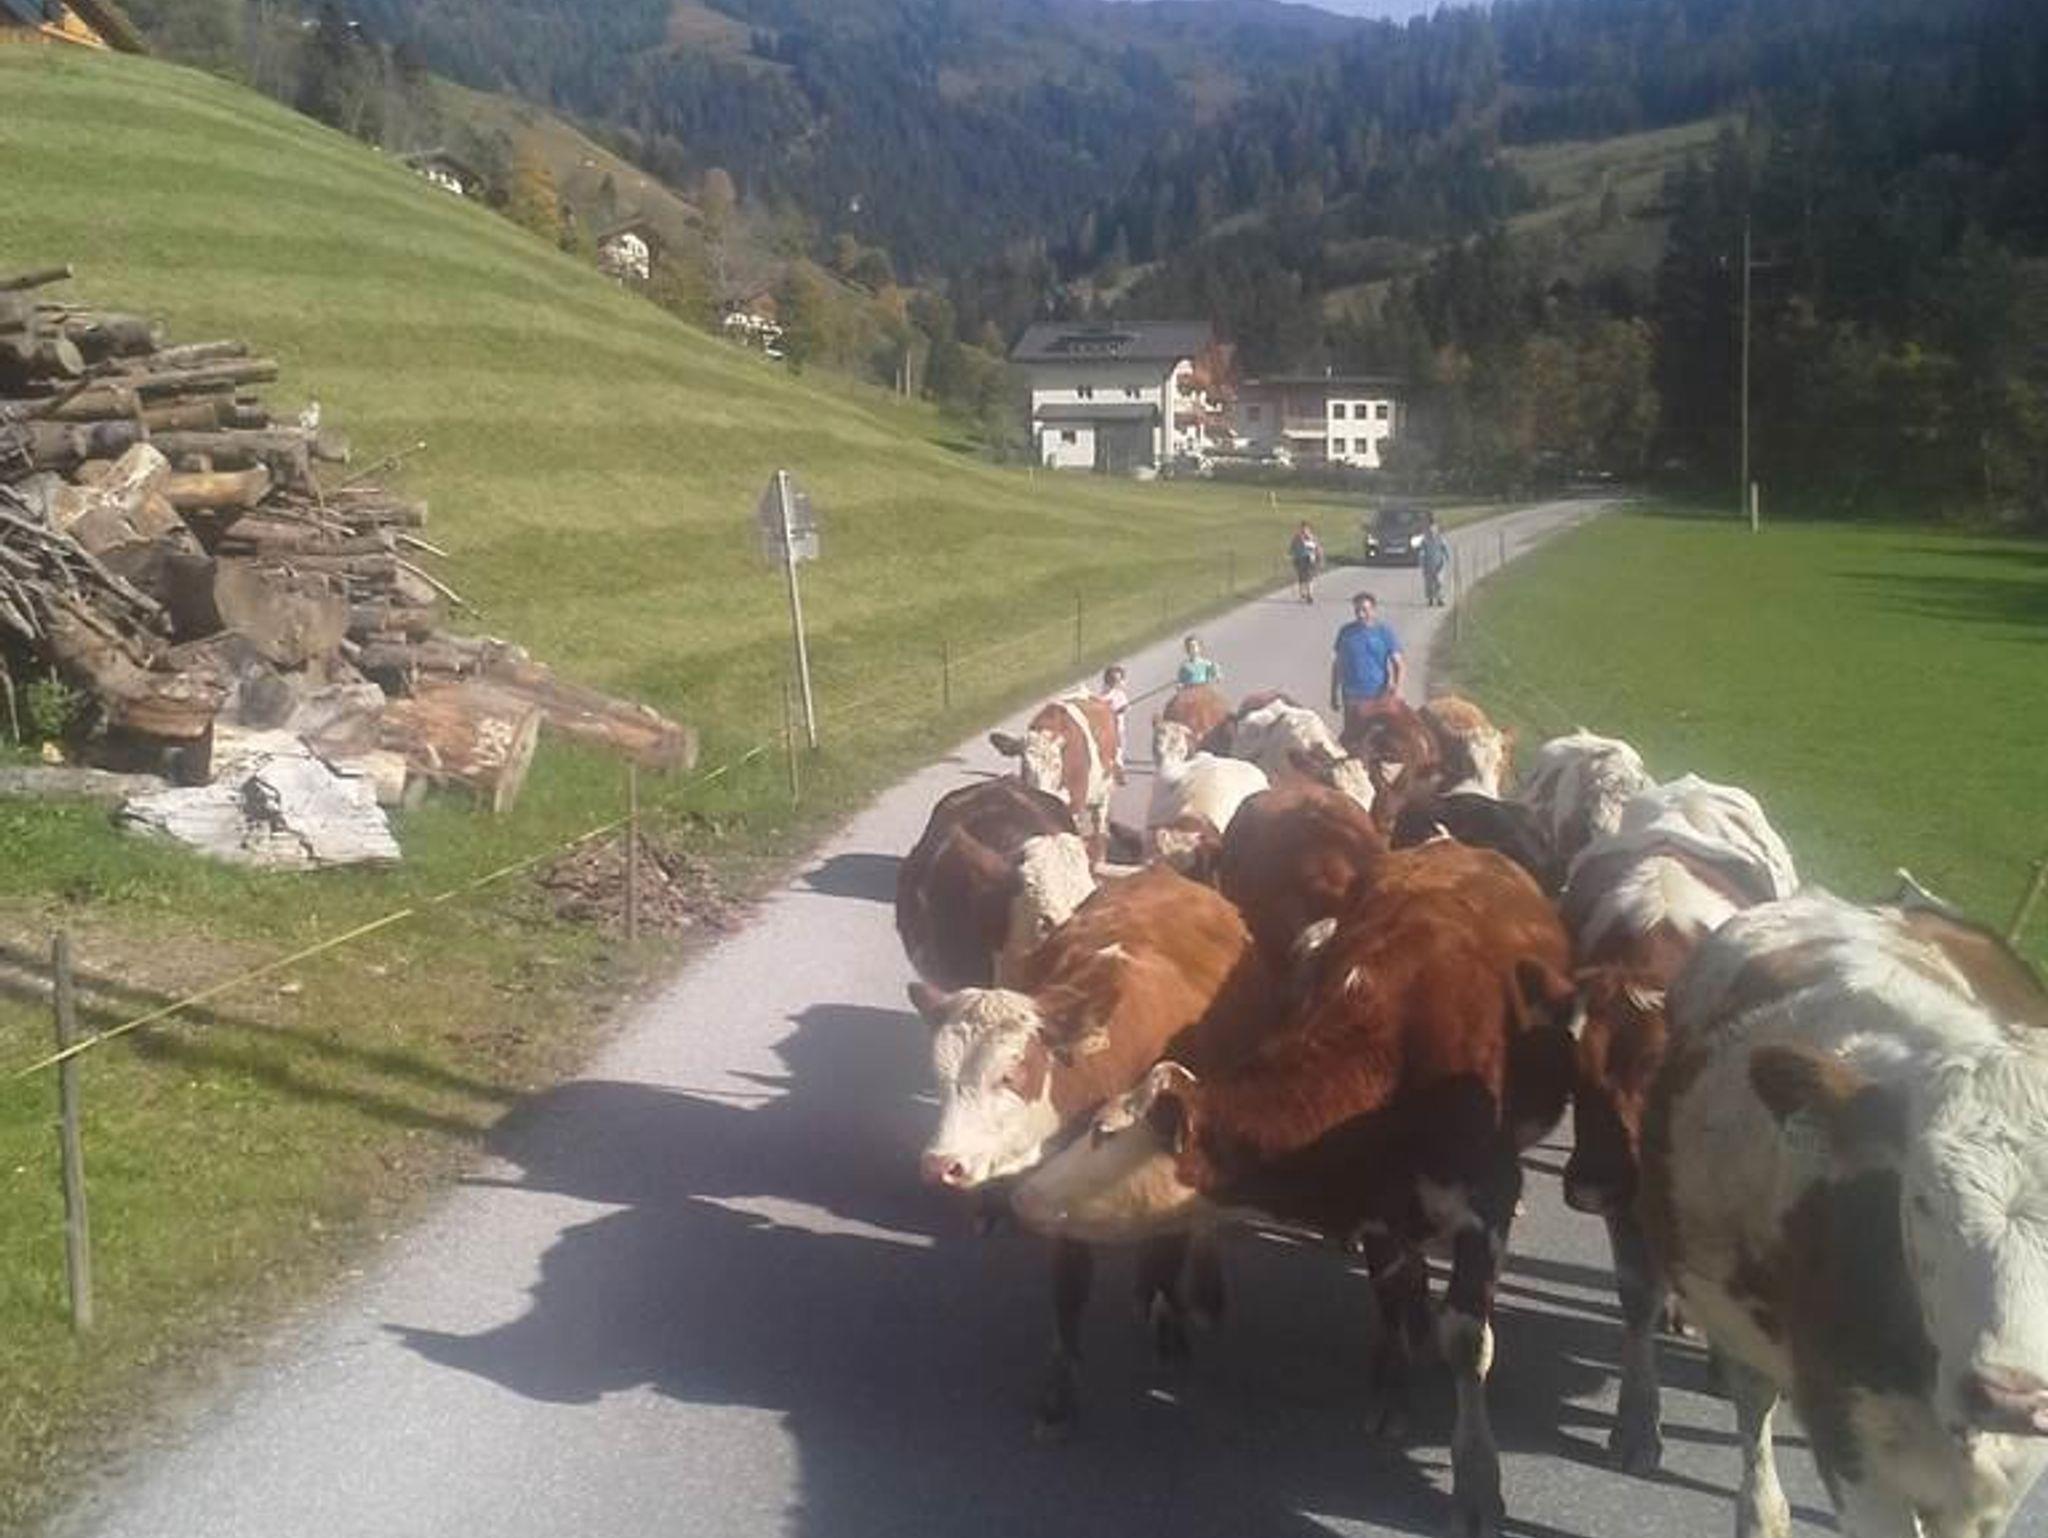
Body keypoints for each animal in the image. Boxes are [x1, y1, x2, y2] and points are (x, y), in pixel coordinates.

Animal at [913, 864, 1274, 1433]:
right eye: (938, 1076)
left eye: (1011, 1074)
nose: (941, 1165)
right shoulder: (1060, 1185)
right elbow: (1069, 1289)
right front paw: (1060, 1391)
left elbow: (1165, 1251)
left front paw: (1167, 1320)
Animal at [1014, 842, 1580, 1538]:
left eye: (1101, 1131)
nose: (1021, 1196)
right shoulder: (1381, 1207)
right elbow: (1393, 1287)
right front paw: (1391, 1389)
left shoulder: (1487, 1198)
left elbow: (1468, 1340)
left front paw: (1477, 1483)